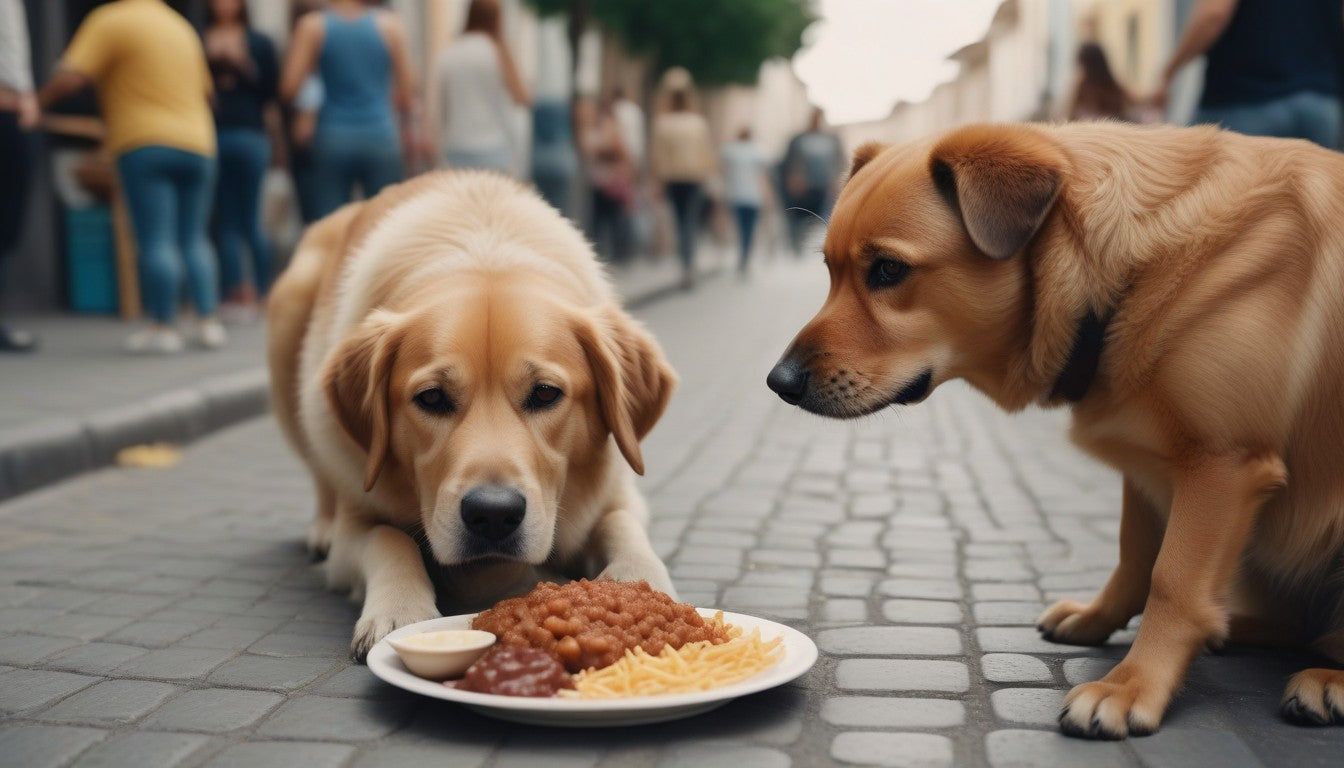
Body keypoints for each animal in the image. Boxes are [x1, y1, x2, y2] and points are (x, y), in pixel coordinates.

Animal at [270, 171, 682, 659]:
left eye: (546, 393)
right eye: (431, 398)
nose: (493, 515)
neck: (485, 246)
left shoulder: (619, 495)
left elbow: (624, 529)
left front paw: (644, 587)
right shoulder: (358, 521)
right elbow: (389, 540)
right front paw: (401, 611)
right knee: (321, 473)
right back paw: (322, 528)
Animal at [768, 123, 1344, 742]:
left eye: (888, 270)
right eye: (829, 271)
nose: (778, 382)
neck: (1129, 275)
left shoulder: (1221, 465)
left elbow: (1173, 582)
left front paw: (1132, 684)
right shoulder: (1151, 458)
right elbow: (1136, 555)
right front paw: (1099, 619)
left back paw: (1325, 677)